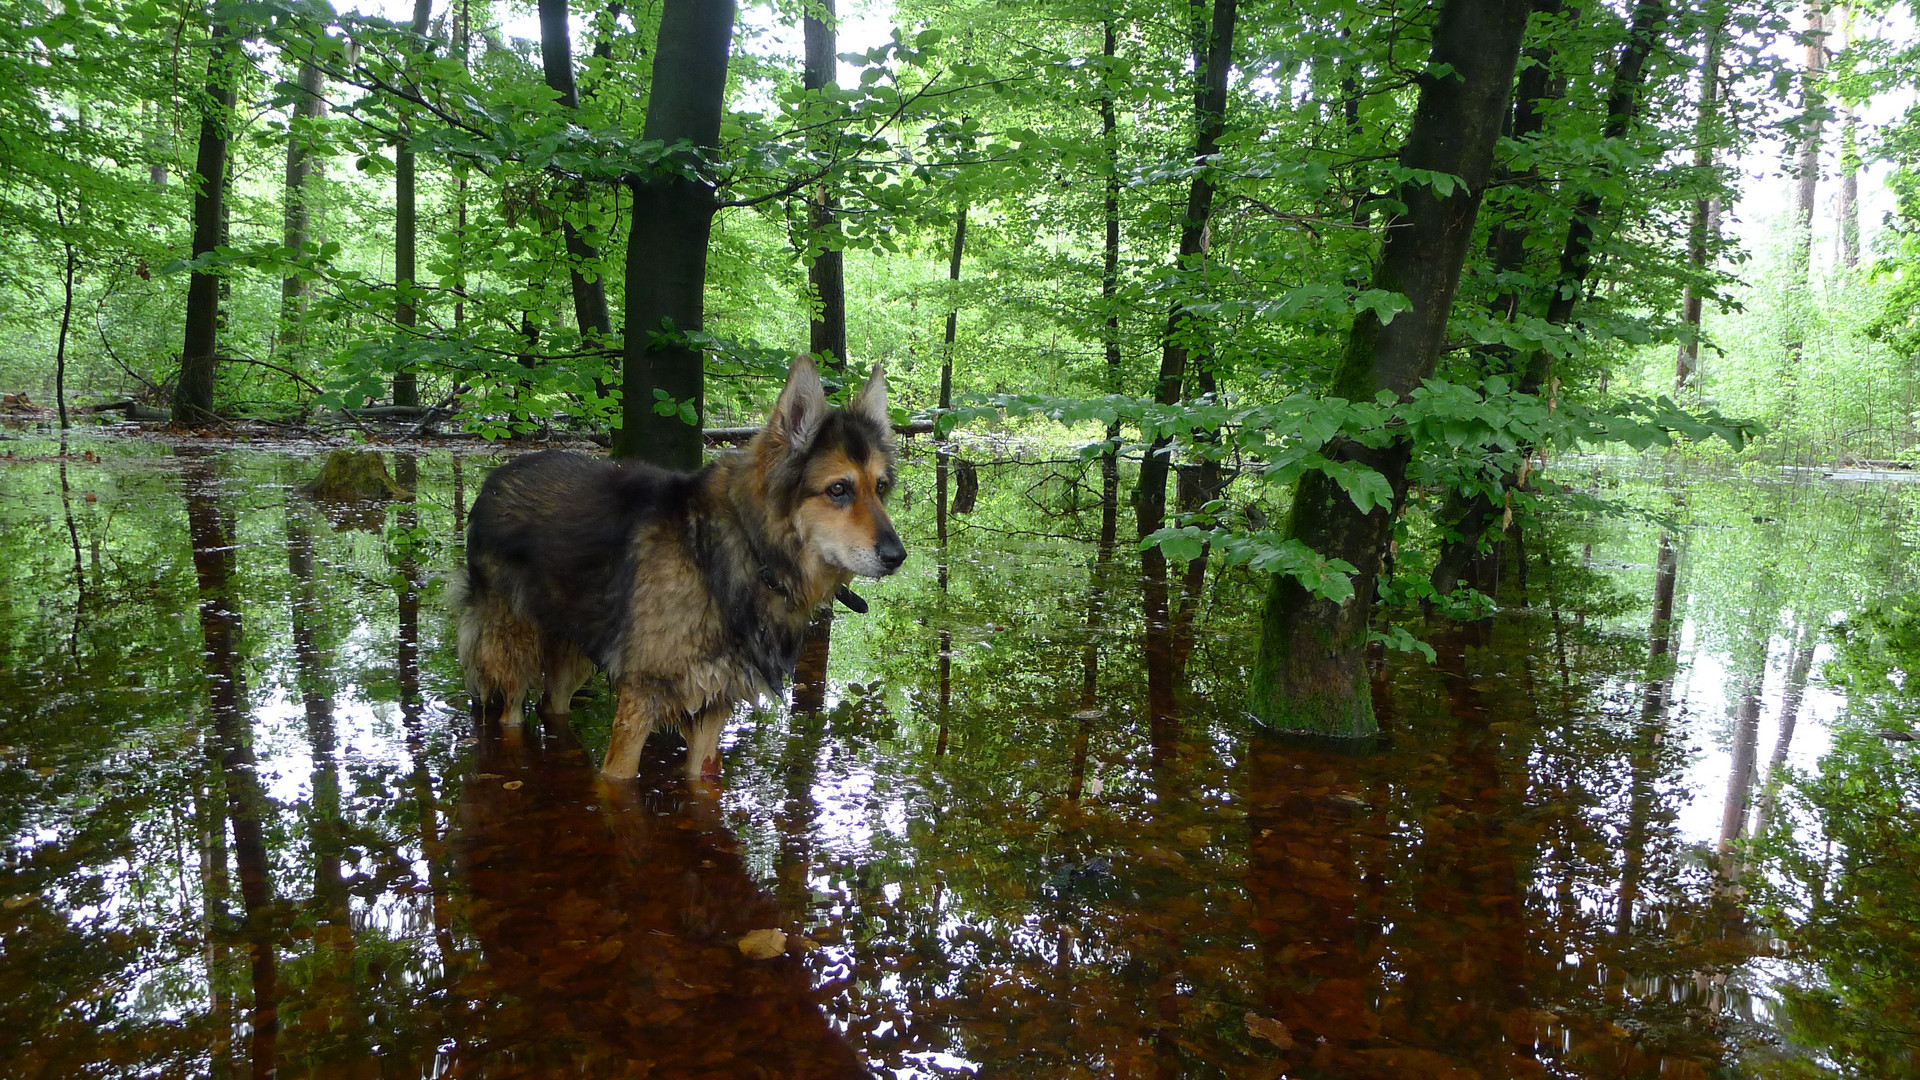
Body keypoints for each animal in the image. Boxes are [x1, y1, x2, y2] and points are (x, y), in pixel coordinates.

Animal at [451, 357, 906, 776]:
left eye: (881, 487)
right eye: (838, 489)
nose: (897, 556)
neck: (748, 549)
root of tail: (495, 478)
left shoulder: (712, 707)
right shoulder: (640, 702)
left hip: (572, 652)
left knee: (552, 704)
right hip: (512, 650)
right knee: (510, 714)